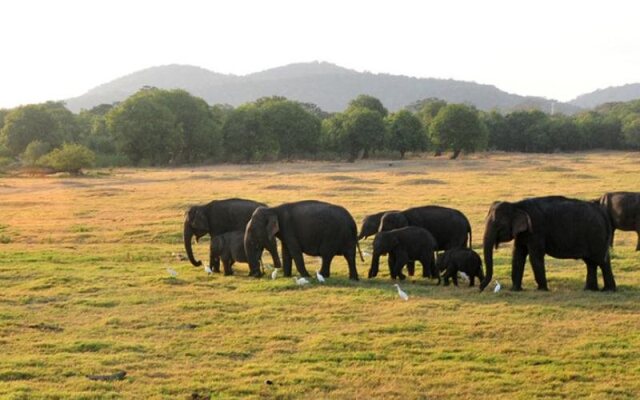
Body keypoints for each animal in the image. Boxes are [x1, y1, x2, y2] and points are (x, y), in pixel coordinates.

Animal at [482, 196, 616, 292]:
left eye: (498, 225)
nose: (480, 289)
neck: (516, 205)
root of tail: (602, 212)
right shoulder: (522, 233)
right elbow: (518, 255)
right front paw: (515, 290)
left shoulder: (536, 230)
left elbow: (535, 256)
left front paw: (542, 290)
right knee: (591, 262)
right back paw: (590, 290)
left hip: (596, 235)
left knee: (601, 261)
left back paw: (608, 290)